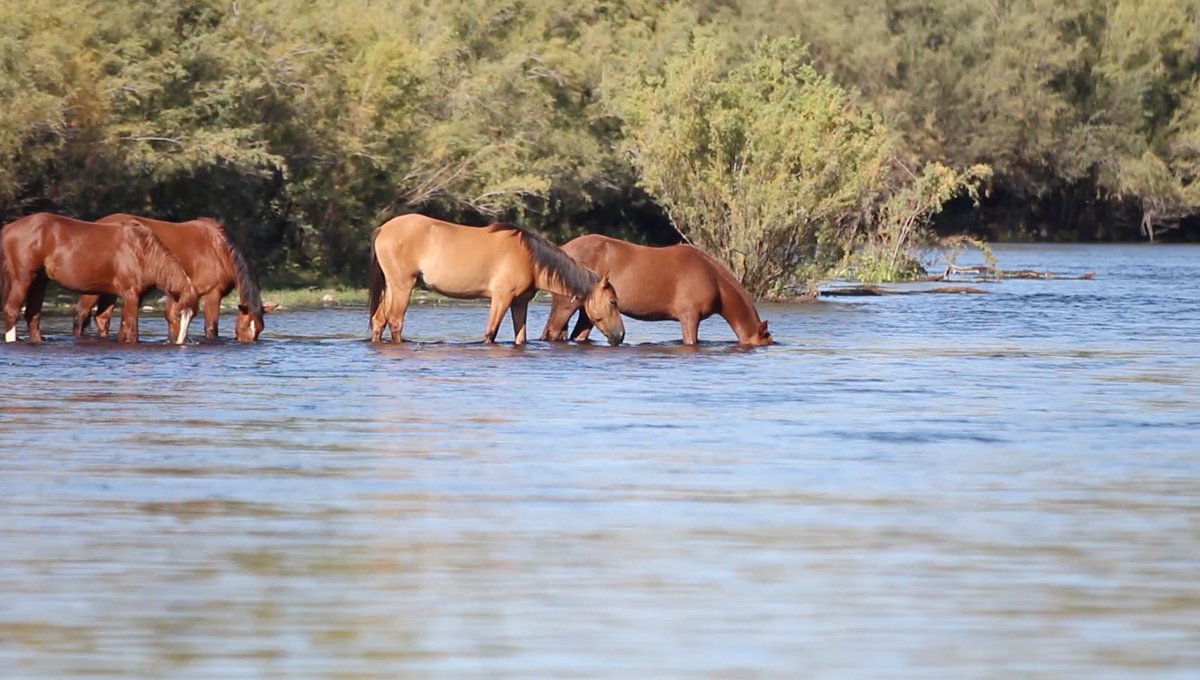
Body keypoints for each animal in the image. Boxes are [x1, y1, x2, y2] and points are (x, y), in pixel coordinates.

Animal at [1, 212, 198, 344]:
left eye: (192, 317)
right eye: (177, 314)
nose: (181, 343)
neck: (142, 251)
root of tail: (8, 228)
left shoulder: (130, 296)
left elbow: (122, 327)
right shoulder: (131, 294)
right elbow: (132, 329)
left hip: (39, 282)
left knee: (32, 315)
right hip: (23, 280)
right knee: (11, 311)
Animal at [75, 214, 268, 342]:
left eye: (259, 330)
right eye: (244, 326)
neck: (219, 249)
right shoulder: (213, 294)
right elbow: (211, 328)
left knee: (101, 319)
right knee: (81, 314)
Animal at [368, 214, 625, 345]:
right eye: (613, 302)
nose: (620, 336)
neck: (529, 257)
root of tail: (383, 229)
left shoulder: (519, 302)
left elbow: (520, 338)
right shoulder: (502, 298)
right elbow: (490, 333)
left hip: (391, 286)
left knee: (379, 320)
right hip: (403, 286)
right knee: (395, 321)